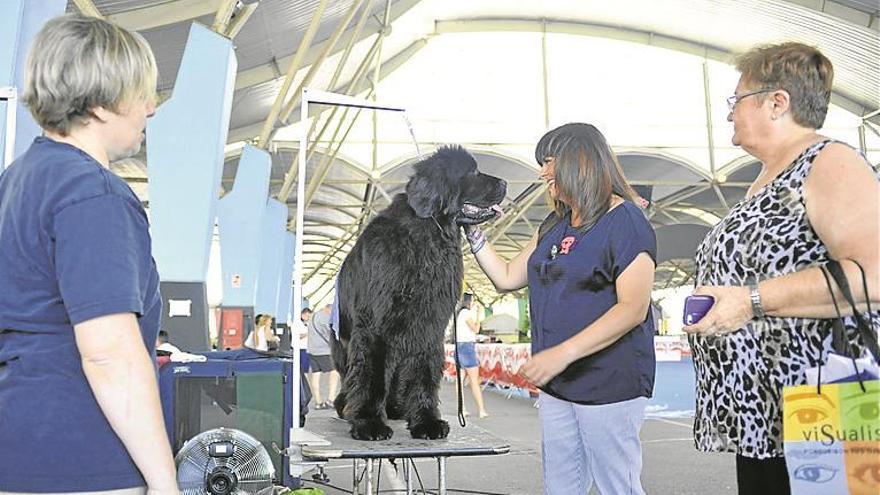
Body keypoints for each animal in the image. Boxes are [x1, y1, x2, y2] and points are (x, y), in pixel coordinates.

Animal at [332, 145, 508, 440]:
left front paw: (426, 421)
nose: (505, 183)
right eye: (472, 172)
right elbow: (371, 376)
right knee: (352, 379)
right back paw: (348, 408)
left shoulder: (428, 324)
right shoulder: (374, 327)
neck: (430, 238)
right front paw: (369, 423)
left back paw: (395, 409)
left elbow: (422, 374)